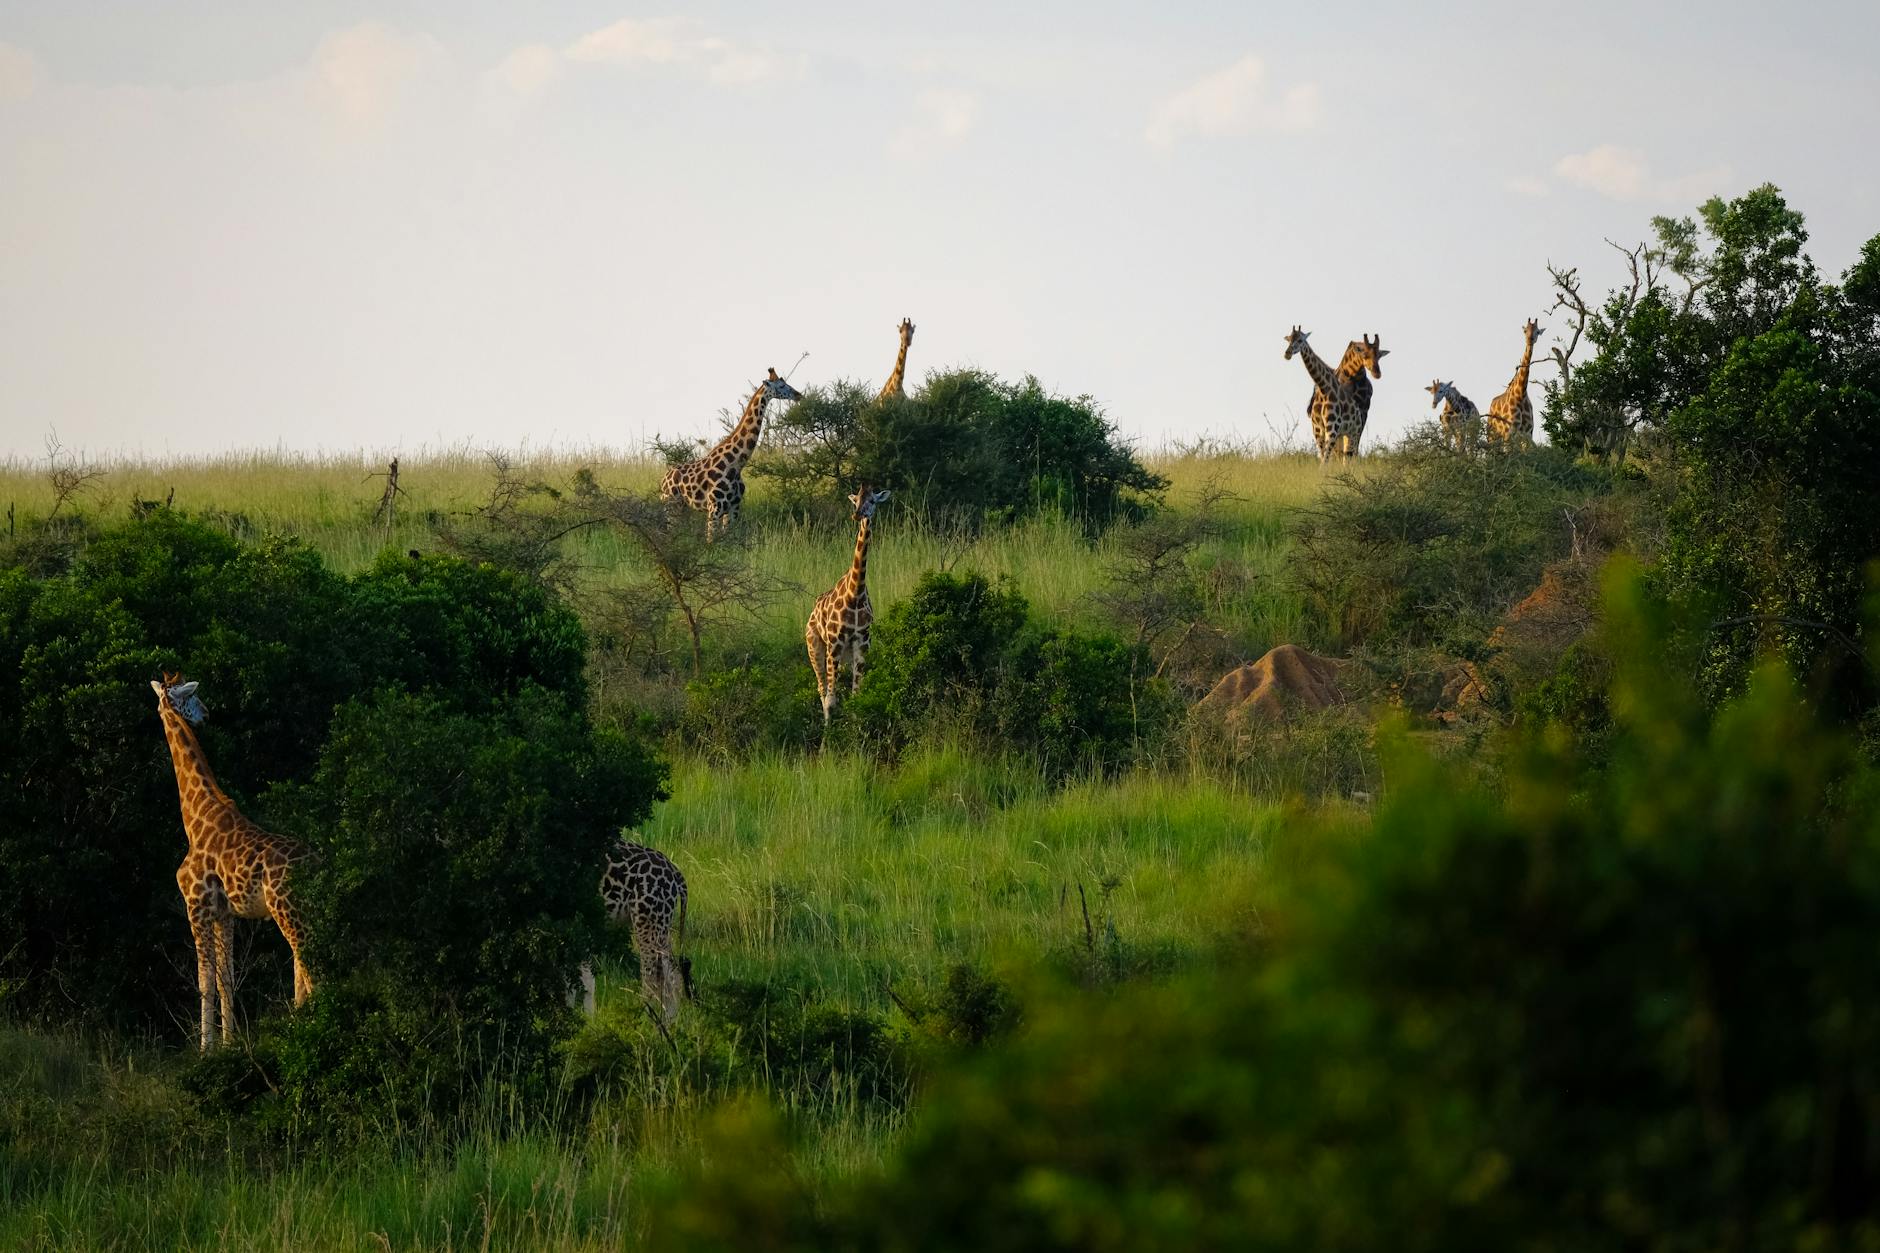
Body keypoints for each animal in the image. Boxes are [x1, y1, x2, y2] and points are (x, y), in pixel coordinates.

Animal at [152, 669, 313, 1046]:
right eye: (193, 697)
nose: (207, 714)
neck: (195, 817)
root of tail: (316, 862)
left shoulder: (196, 906)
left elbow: (204, 982)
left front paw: (206, 1048)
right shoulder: (225, 914)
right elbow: (226, 980)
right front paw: (229, 1044)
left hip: (287, 909)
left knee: (310, 962)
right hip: (302, 909)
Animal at [575, 827, 695, 1015]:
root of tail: (676, 874)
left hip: (647, 922)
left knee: (651, 979)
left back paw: (644, 1020)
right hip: (661, 924)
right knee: (672, 976)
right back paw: (669, 1021)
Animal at [661, 363, 800, 534]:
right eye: (781, 385)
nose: (798, 395)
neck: (736, 465)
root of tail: (663, 479)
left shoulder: (734, 508)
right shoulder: (714, 508)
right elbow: (711, 539)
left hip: (683, 507)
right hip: (672, 505)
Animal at [804, 489, 891, 722]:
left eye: (873, 501)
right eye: (856, 501)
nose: (858, 515)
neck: (855, 593)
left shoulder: (862, 643)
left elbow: (855, 696)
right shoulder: (835, 643)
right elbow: (830, 700)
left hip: (844, 655)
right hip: (815, 647)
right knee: (822, 690)